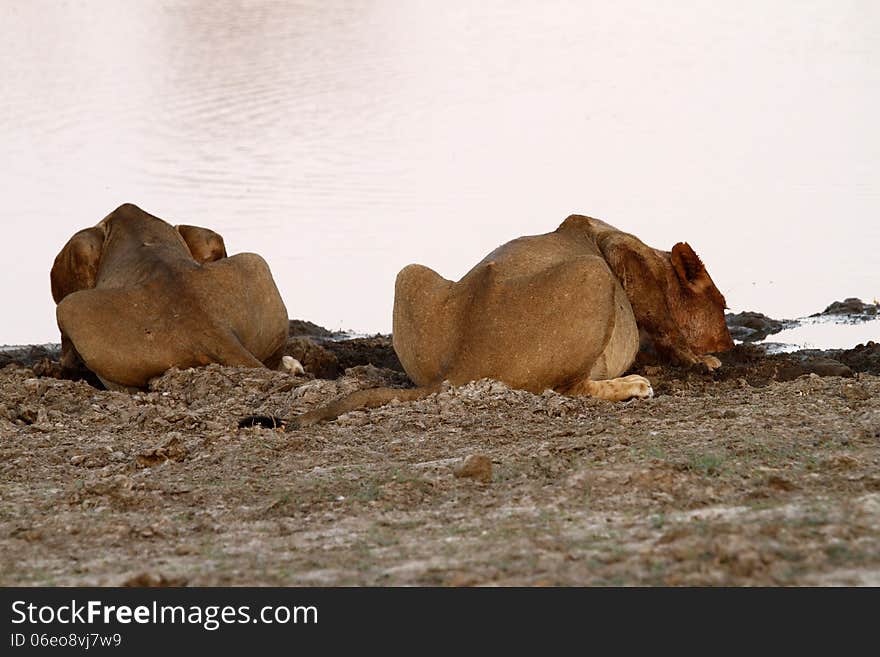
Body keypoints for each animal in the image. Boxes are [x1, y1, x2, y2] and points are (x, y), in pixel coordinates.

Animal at [242, 214, 736, 430]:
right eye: (723, 306)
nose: (730, 344)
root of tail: (462, 362)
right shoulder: (623, 259)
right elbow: (667, 330)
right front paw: (703, 361)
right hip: (594, 275)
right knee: (570, 388)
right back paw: (633, 385)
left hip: (408, 274)